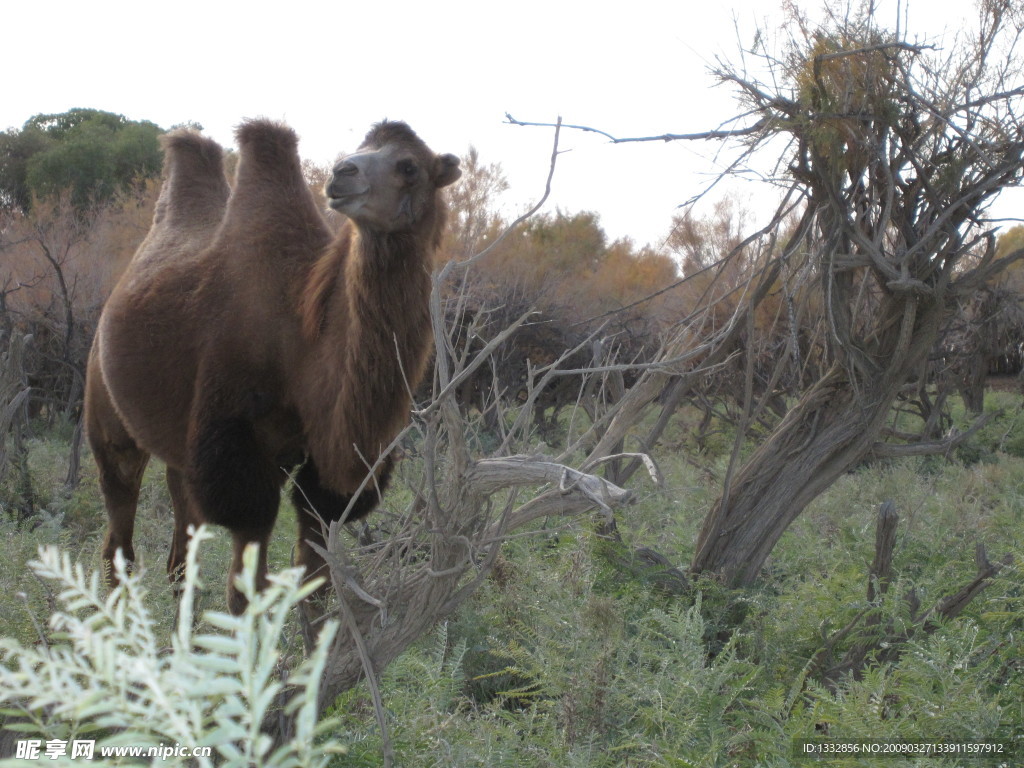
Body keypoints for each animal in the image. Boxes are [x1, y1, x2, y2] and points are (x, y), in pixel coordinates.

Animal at [86, 118, 462, 614]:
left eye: (408, 166)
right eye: (362, 148)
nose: (342, 173)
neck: (303, 349)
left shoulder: (325, 482)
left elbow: (317, 593)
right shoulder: (241, 466)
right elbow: (246, 595)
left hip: (183, 452)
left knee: (179, 554)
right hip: (109, 419)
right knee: (120, 534)